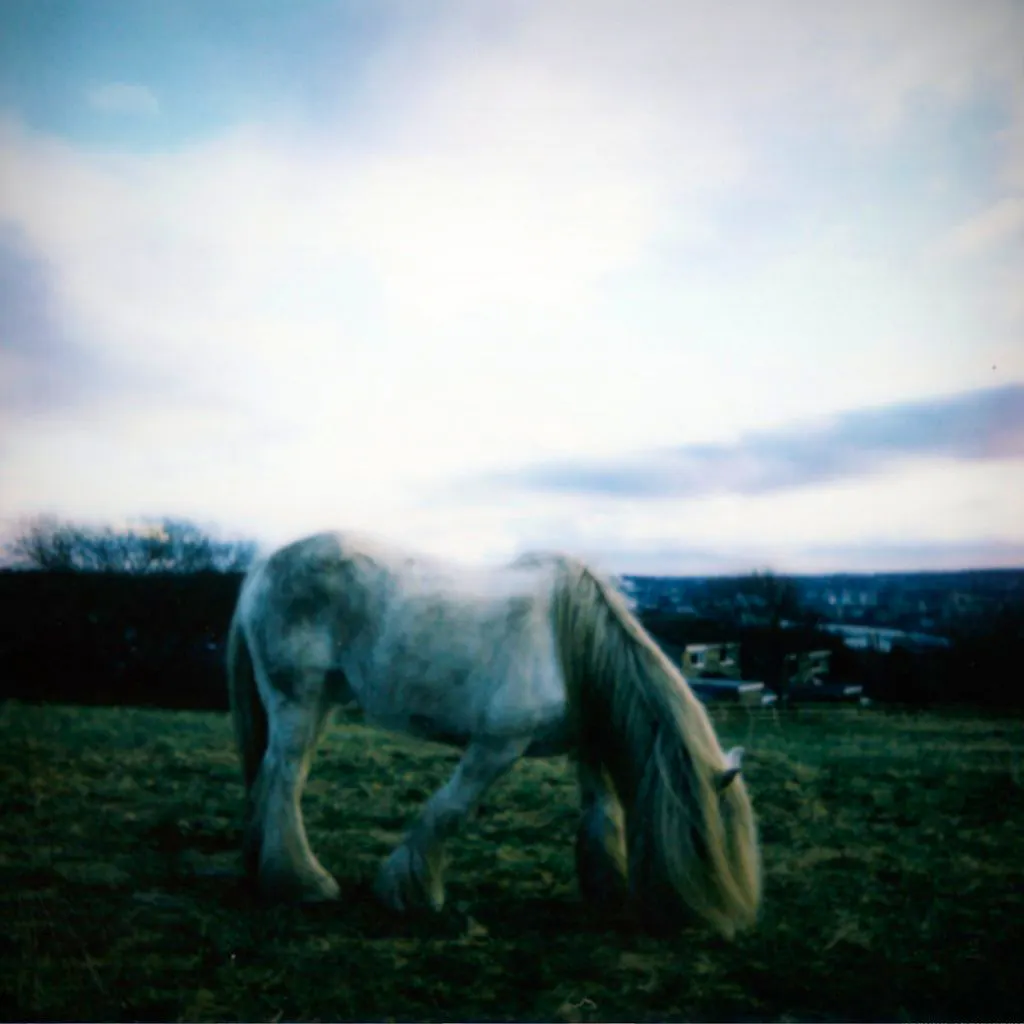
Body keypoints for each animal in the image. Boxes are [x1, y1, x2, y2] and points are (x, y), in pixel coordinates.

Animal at [226, 531, 761, 937]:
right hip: (299, 701)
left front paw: (606, 890)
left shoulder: (585, 748)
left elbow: (601, 814)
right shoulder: (498, 746)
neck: (570, 637)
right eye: (708, 841)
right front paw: (411, 892)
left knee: (273, 778)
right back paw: (304, 883)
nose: (721, 925)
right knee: (284, 782)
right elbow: (449, 812)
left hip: (319, 705)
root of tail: (264, 566)